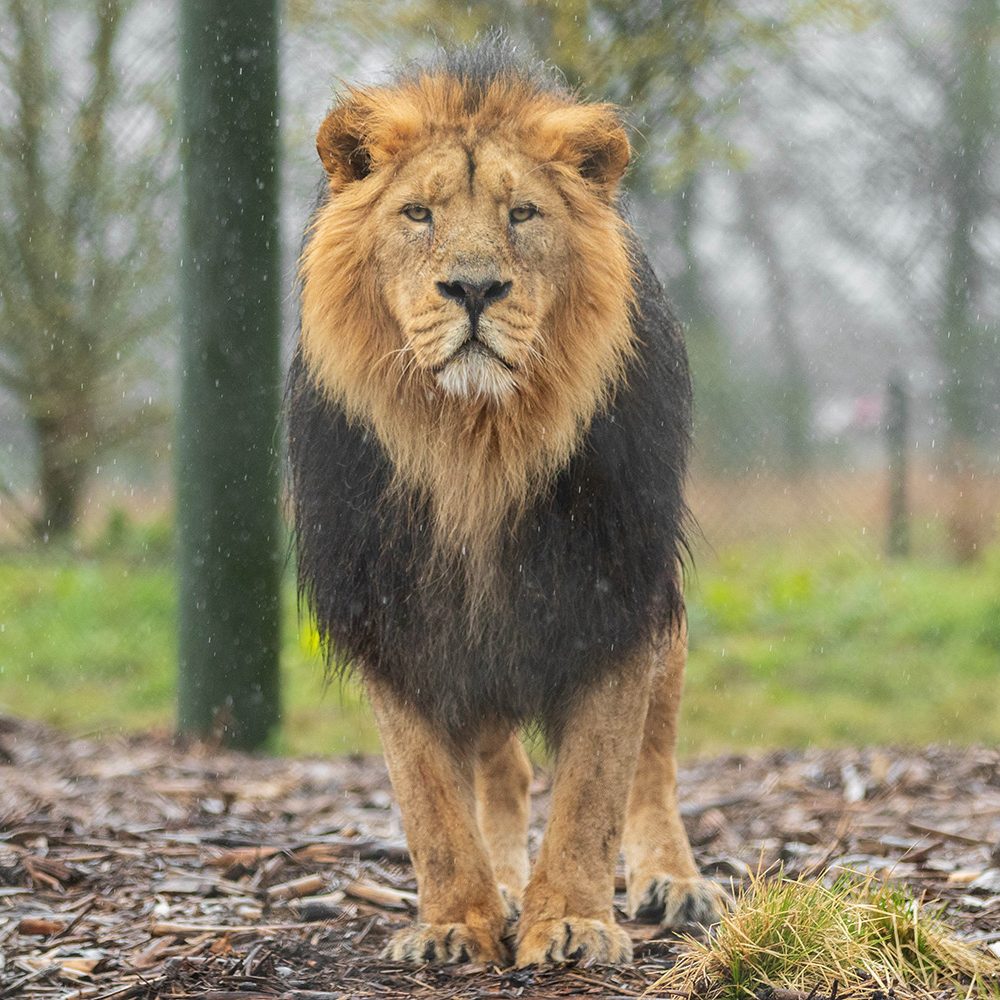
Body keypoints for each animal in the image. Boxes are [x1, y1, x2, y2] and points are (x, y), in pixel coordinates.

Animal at [286, 43, 724, 964]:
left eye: (523, 213)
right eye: (417, 213)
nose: (476, 288)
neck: (475, 447)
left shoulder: (616, 590)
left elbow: (597, 785)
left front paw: (575, 924)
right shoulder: (391, 611)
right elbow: (428, 800)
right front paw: (456, 922)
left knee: (655, 759)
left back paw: (672, 881)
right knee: (504, 768)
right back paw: (507, 883)